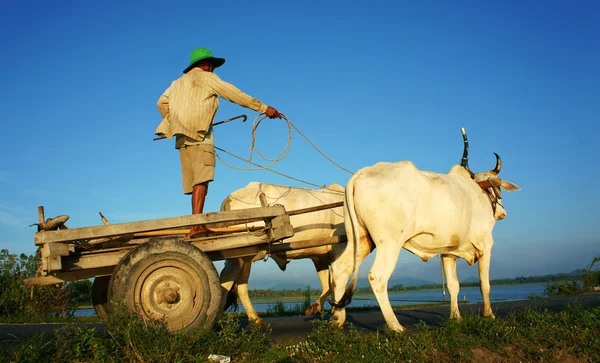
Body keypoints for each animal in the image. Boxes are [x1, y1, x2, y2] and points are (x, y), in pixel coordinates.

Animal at [217, 182, 376, 328]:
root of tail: (230, 197)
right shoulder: (342, 250)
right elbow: (337, 281)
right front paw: (337, 317)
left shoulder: (320, 257)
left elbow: (328, 285)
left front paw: (317, 309)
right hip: (242, 254)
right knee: (228, 279)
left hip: (243, 258)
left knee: (238, 284)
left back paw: (252, 319)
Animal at [330, 154, 516, 332]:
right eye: (498, 189)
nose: (503, 212)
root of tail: (362, 173)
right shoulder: (486, 246)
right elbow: (484, 284)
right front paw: (489, 315)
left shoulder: (448, 253)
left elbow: (453, 285)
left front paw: (456, 317)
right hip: (389, 244)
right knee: (377, 277)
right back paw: (395, 326)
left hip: (361, 240)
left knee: (340, 269)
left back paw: (338, 319)